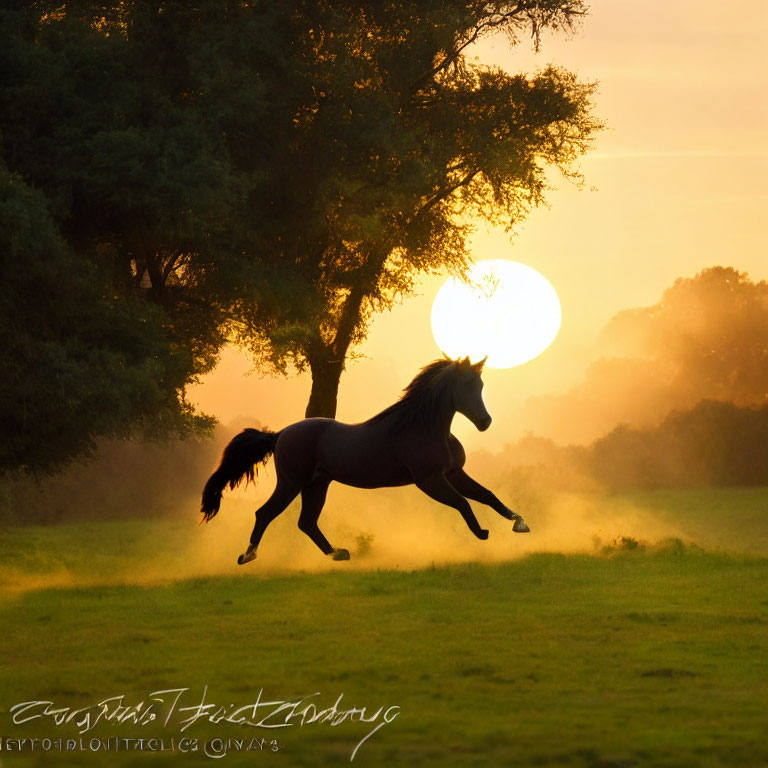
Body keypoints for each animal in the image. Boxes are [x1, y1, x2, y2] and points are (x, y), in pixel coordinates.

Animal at [201, 356, 532, 564]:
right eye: (466, 386)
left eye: (481, 386)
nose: (485, 422)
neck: (422, 426)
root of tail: (281, 434)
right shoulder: (430, 480)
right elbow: (463, 503)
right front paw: (482, 533)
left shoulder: (453, 473)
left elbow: (487, 495)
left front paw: (520, 523)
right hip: (292, 483)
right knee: (265, 514)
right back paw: (247, 556)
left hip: (316, 485)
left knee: (306, 522)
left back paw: (338, 553)